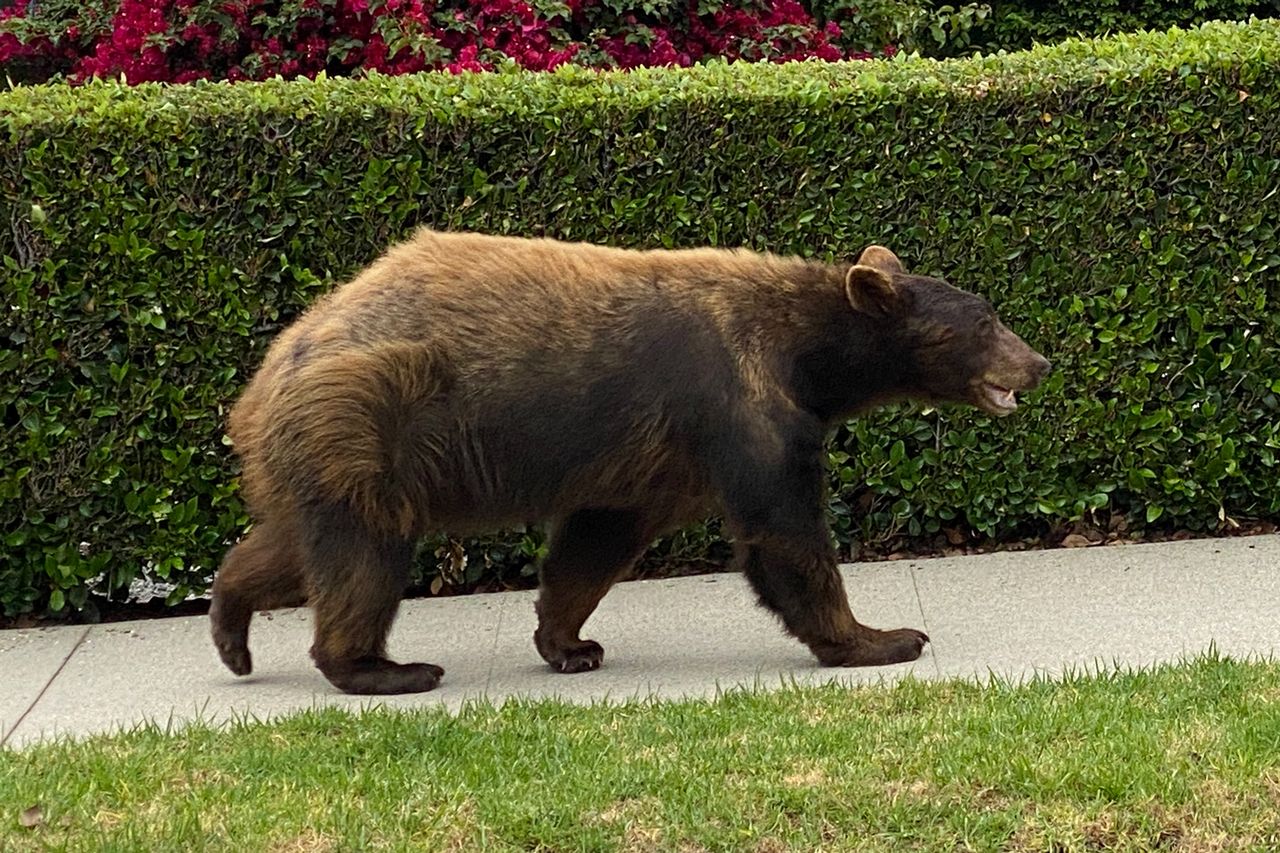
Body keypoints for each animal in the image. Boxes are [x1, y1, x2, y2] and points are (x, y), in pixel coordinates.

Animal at [209, 229, 1050, 695]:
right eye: (985, 322)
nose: (1038, 361)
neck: (809, 357)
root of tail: (265, 376)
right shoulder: (737, 404)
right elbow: (784, 533)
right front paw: (883, 636)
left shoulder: (648, 458)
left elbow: (596, 540)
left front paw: (570, 642)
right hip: (367, 423)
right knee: (363, 556)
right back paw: (387, 668)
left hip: (323, 453)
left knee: (296, 545)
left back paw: (233, 627)